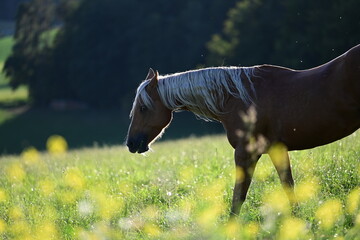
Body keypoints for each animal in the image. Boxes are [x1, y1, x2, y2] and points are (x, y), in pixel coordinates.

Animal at [125, 44, 358, 217]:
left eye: (143, 108)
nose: (130, 143)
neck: (239, 98)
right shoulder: (277, 149)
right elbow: (288, 186)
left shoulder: (245, 152)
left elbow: (239, 196)